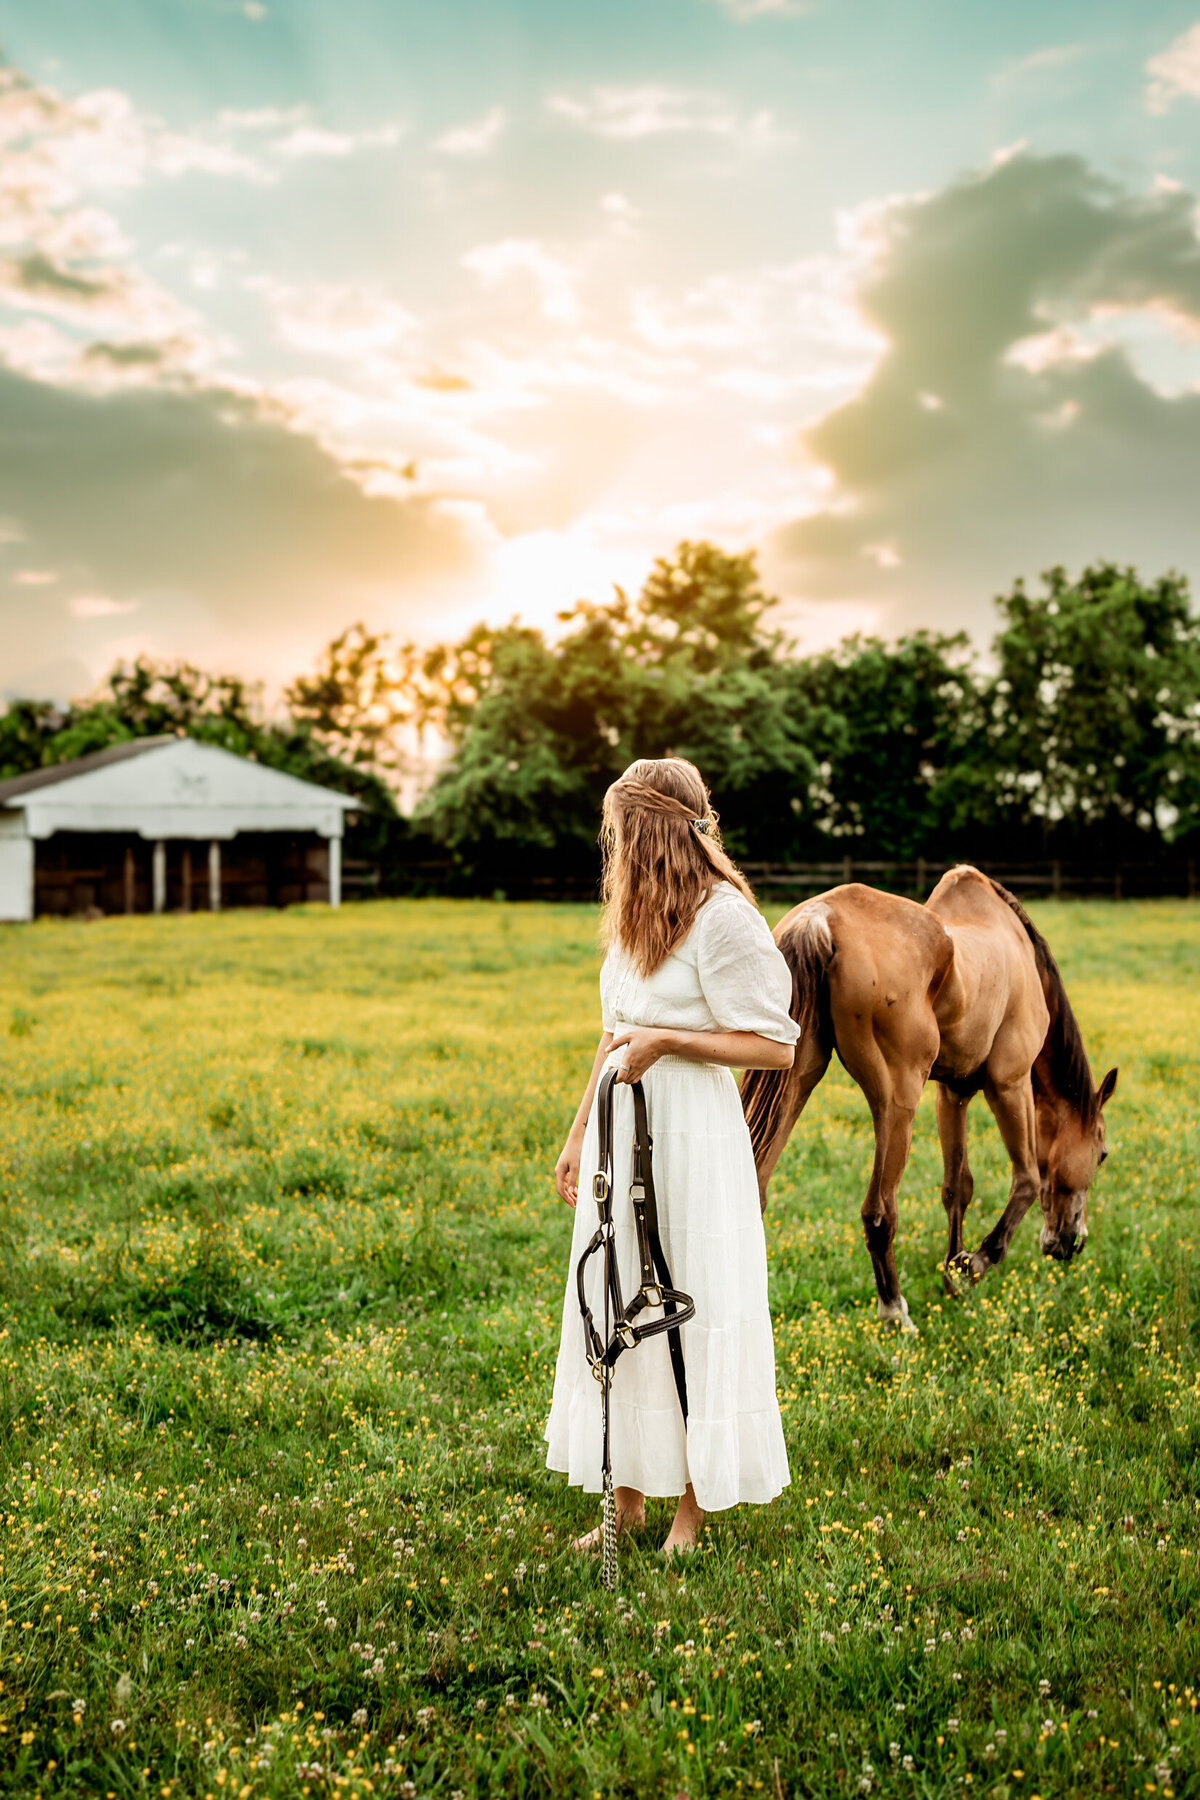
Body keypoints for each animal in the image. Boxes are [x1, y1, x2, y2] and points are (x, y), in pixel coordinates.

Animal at [744, 864, 1122, 1332]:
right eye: (1102, 1154)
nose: (1072, 1242)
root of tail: (821, 919)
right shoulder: (1009, 1084)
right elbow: (1028, 1180)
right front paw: (976, 1262)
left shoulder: (953, 1093)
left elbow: (957, 1186)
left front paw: (952, 1274)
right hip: (897, 1103)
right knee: (879, 1212)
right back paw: (895, 1311)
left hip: (800, 1077)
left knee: (756, 1186)